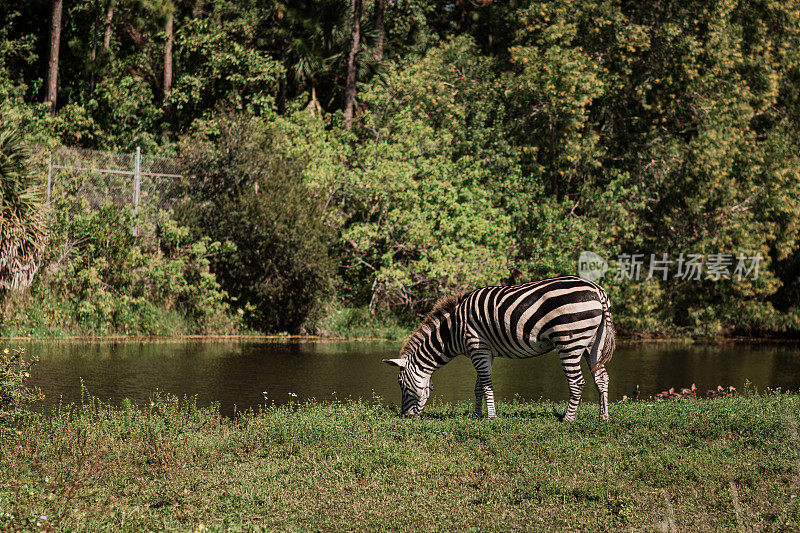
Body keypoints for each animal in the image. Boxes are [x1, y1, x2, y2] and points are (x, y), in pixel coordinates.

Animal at [384, 274, 616, 420]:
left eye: (401, 385)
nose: (405, 417)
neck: (453, 329)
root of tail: (597, 290)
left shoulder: (477, 346)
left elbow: (487, 385)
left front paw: (491, 417)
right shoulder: (483, 351)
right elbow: (478, 387)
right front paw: (477, 415)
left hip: (569, 341)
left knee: (577, 382)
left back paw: (568, 419)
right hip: (593, 342)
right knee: (602, 377)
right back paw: (603, 417)